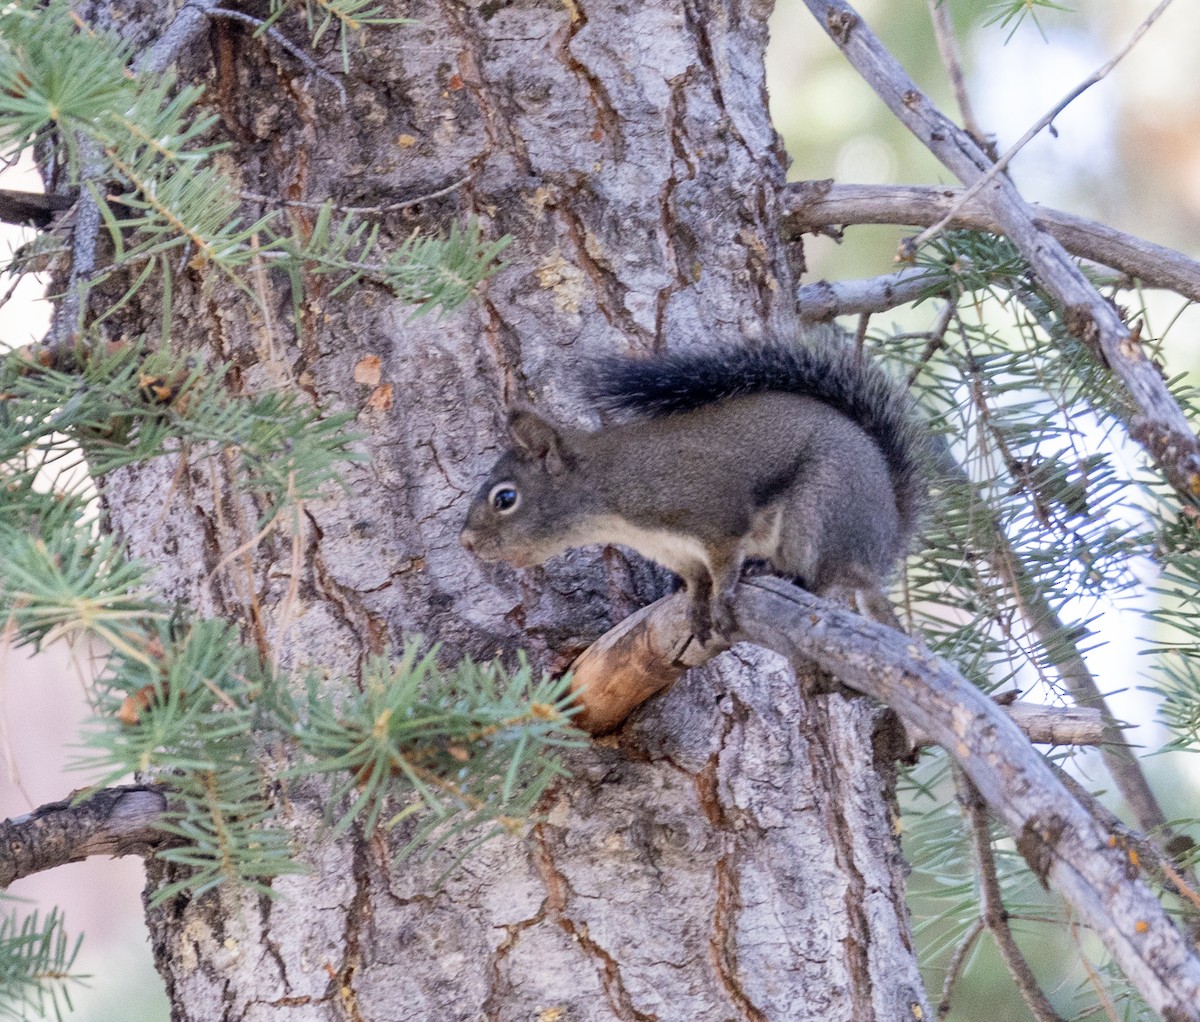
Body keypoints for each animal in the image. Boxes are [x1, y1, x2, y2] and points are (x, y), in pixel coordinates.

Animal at [460, 336, 931, 642]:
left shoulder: (714, 518)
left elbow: (722, 565)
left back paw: (779, 571)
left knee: (824, 578)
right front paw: (694, 605)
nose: (466, 542)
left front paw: (721, 598)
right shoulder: (678, 553)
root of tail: (884, 543)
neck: (610, 494)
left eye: (505, 498)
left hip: (820, 508)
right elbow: (696, 579)